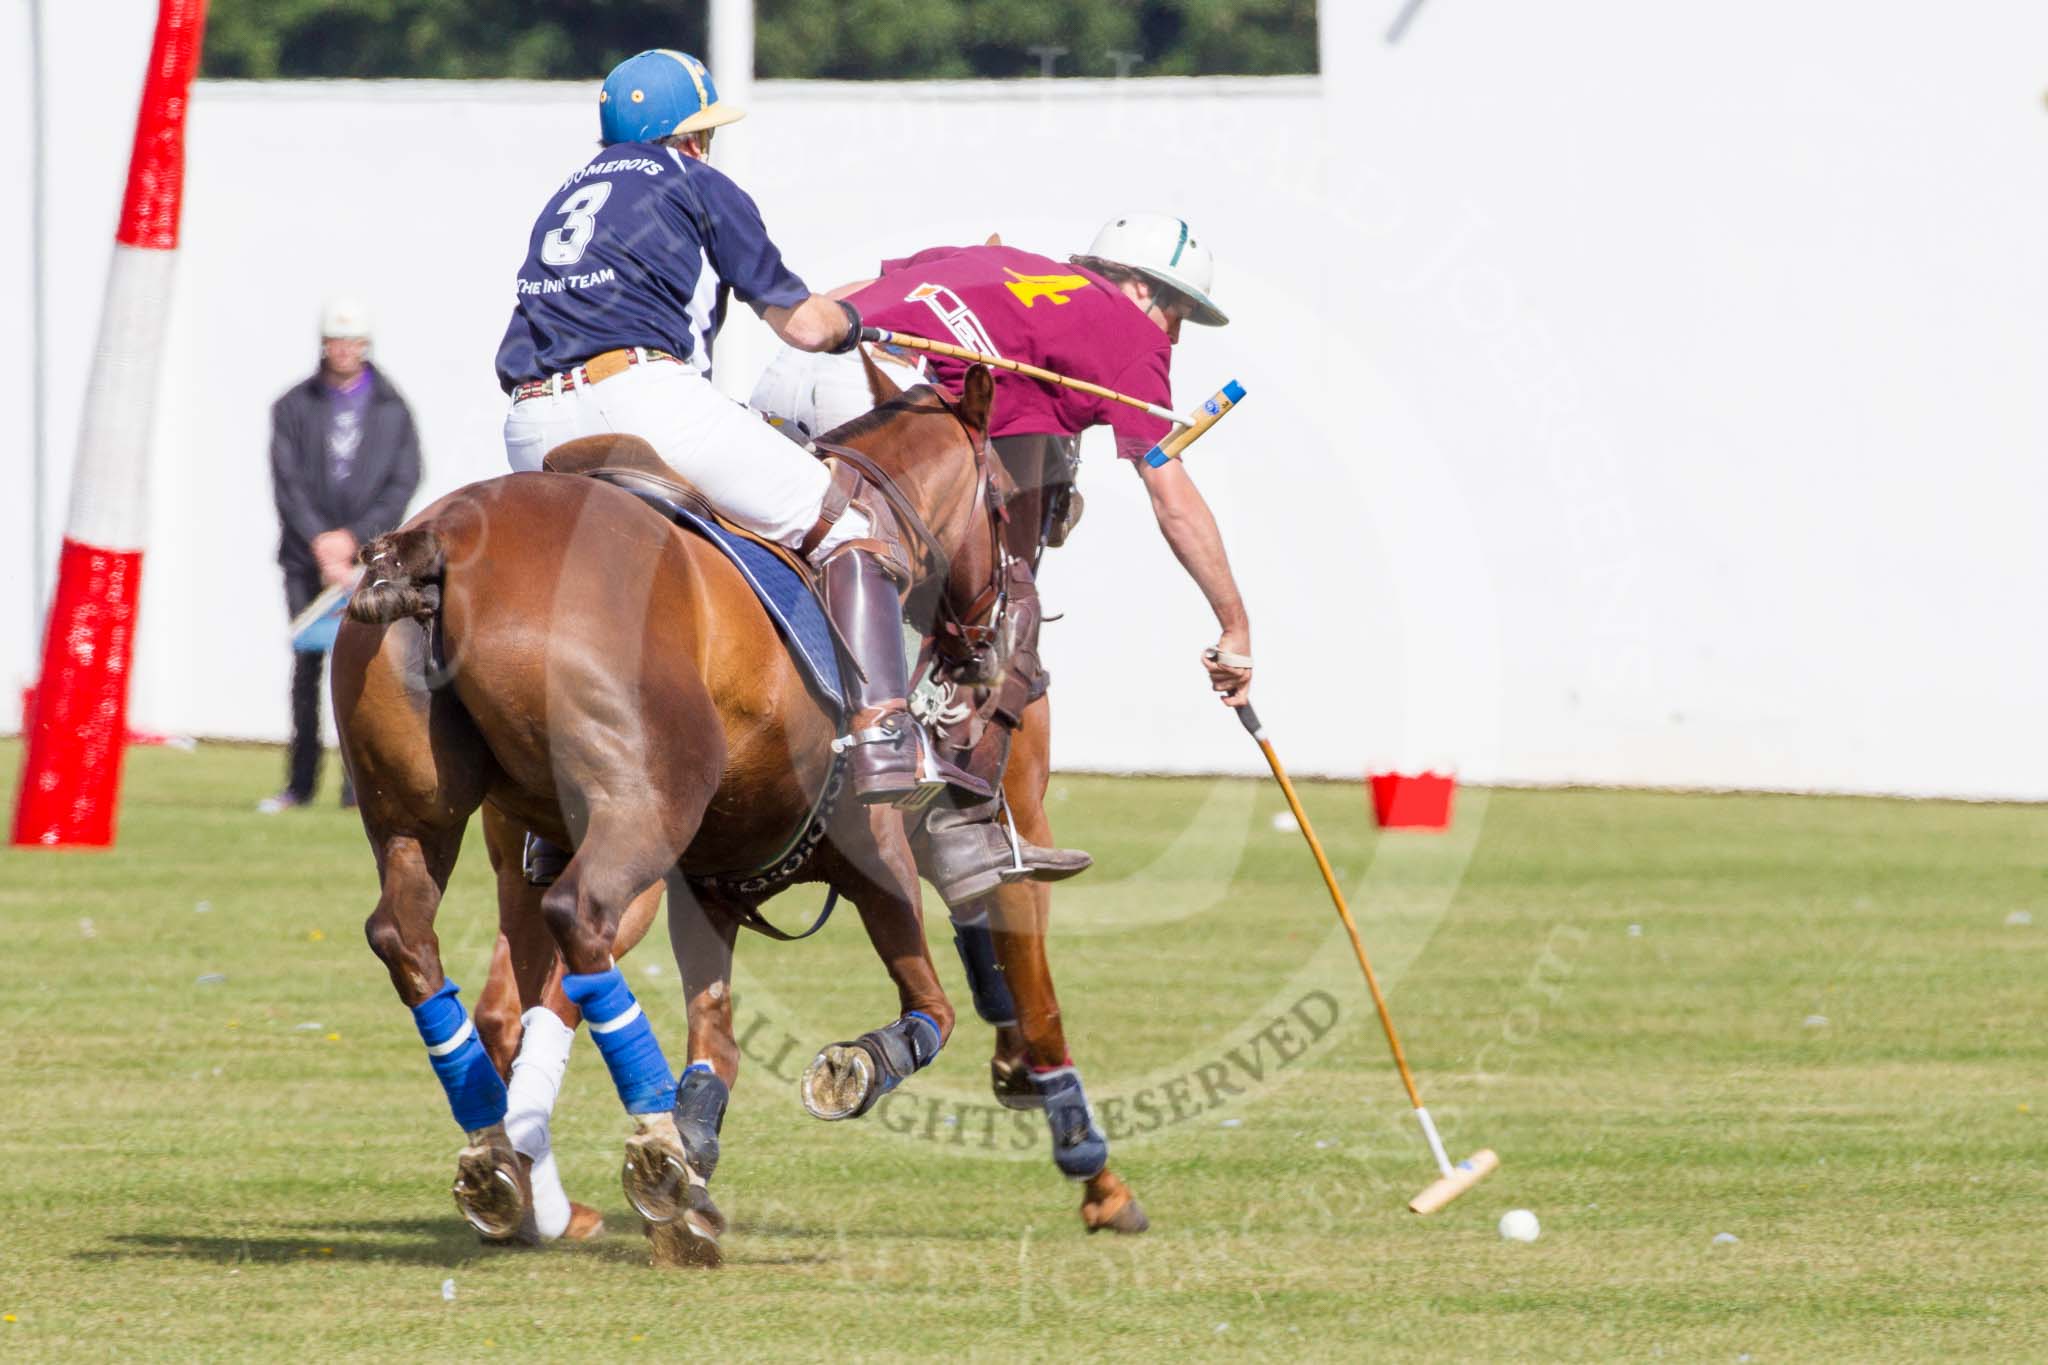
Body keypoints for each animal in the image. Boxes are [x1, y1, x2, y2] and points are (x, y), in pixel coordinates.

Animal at [342, 366, 1040, 1268]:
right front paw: (854, 1065)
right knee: (577, 920)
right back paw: (642, 1150)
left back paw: (503, 1159)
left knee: (415, 941)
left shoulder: (710, 887)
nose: (996, 644)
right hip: (643, 810)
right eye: (1005, 502)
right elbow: (934, 1007)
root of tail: (439, 542)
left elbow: (716, 1042)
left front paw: (694, 1174)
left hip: (416, 816)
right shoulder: (872, 852)